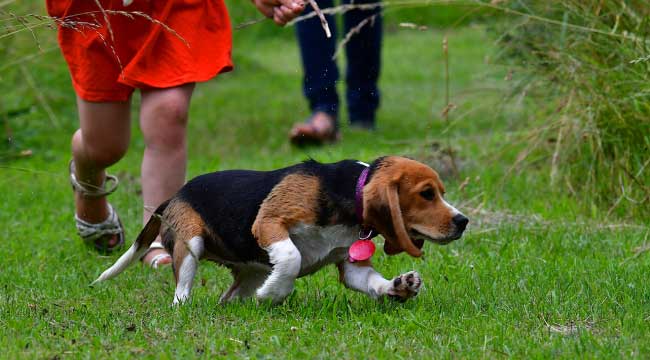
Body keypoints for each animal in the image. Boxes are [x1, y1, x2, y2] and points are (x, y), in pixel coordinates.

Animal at [92, 156, 466, 306]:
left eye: (441, 192)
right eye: (427, 194)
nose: (463, 221)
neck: (350, 190)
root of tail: (173, 196)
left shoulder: (350, 264)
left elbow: (369, 281)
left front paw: (399, 287)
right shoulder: (270, 222)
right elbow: (291, 256)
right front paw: (274, 294)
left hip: (252, 270)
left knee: (230, 297)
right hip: (190, 242)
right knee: (181, 290)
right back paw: (186, 306)